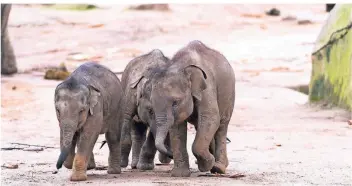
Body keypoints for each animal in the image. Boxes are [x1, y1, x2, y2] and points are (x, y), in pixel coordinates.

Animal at [139, 40, 235, 177]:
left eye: (175, 103)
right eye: (152, 106)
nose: (169, 156)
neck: (181, 66)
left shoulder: (207, 86)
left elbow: (210, 118)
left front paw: (206, 165)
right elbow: (177, 128)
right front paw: (179, 174)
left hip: (229, 95)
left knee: (221, 126)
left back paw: (218, 168)